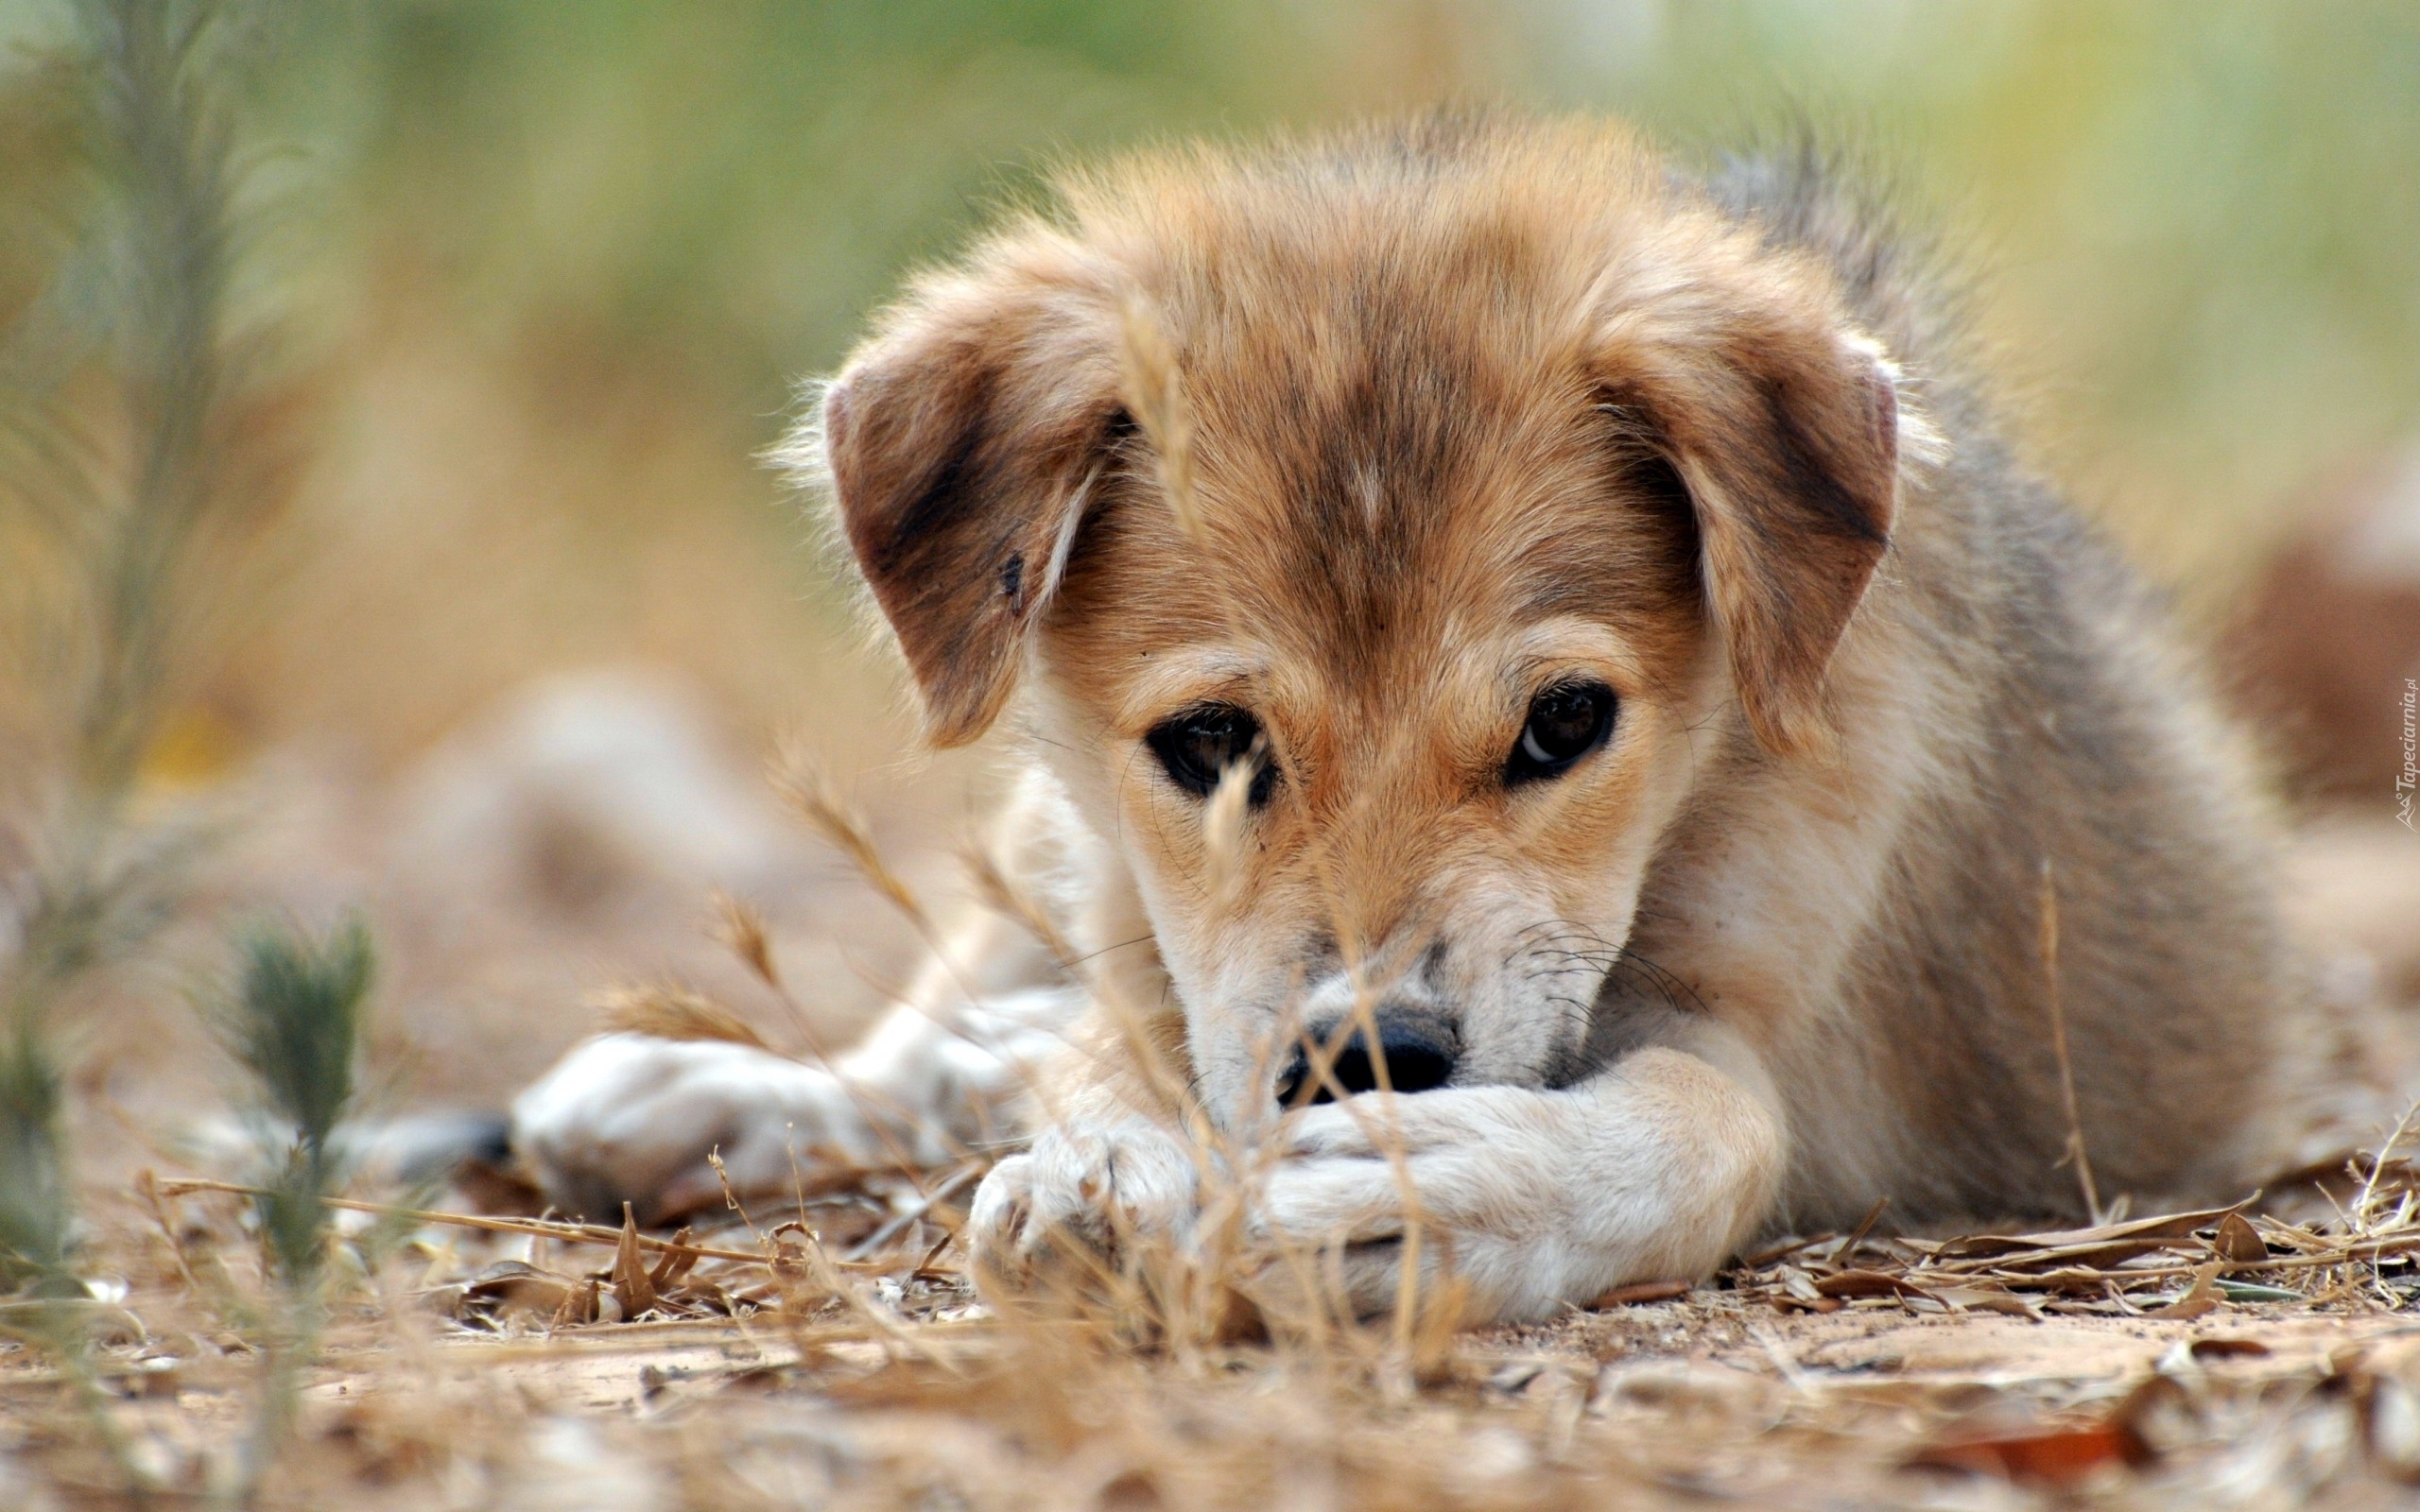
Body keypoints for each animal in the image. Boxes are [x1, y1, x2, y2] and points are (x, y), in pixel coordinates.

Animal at [515, 114, 2400, 1315]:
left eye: (1564, 725)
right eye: (1210, 744)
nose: (1372, 1061)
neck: (1699, 790)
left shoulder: (1761, 1017)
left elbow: (1696, 1129)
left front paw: (1428, 1194)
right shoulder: (1146, 909)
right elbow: (1115, 1048)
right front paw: (1100, 1170)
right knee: (950, 1028)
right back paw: (704, 1092)